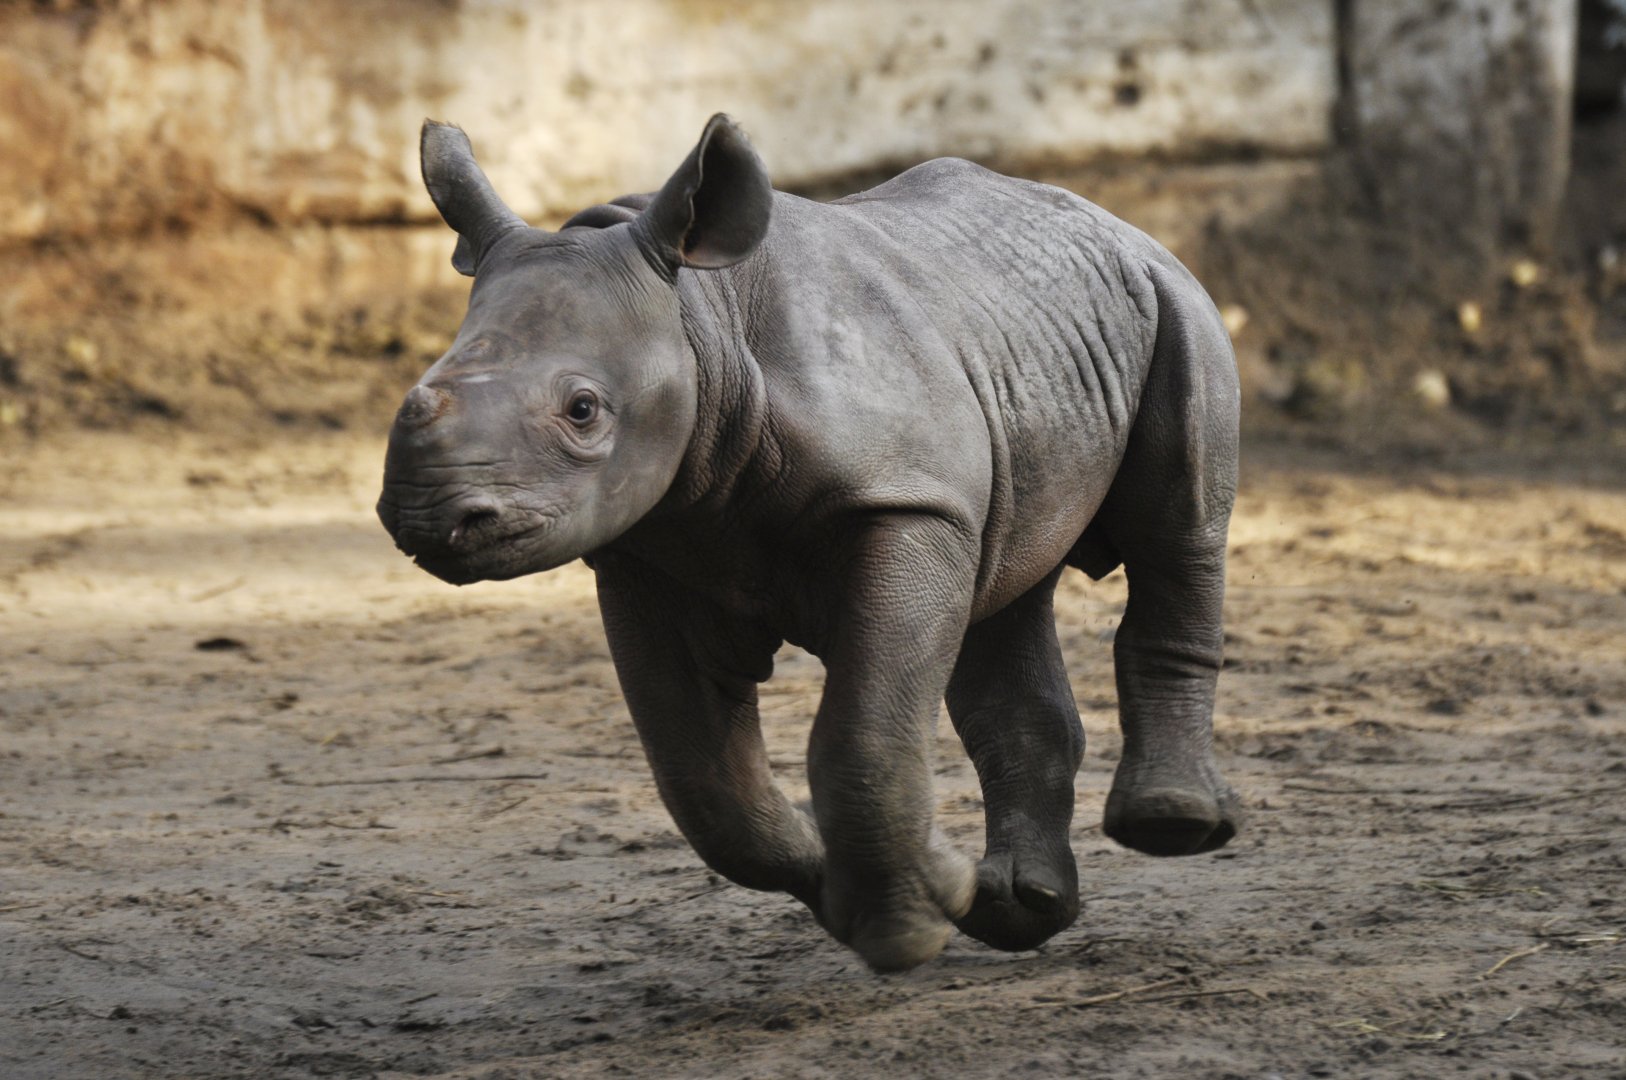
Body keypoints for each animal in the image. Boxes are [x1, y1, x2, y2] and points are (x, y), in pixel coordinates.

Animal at [378, 114, 1241, 972]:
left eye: (583, 410)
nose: (428, 518)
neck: (701, 322)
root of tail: (1107, 216)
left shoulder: (906, 502)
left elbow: (861, 735)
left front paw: (904, 929)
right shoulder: (650, 551)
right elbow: (706, 787)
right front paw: (914, 888)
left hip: (1171, 300)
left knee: (1178, 524)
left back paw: (1170, 823)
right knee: (1004, 595)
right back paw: (1017, 909)